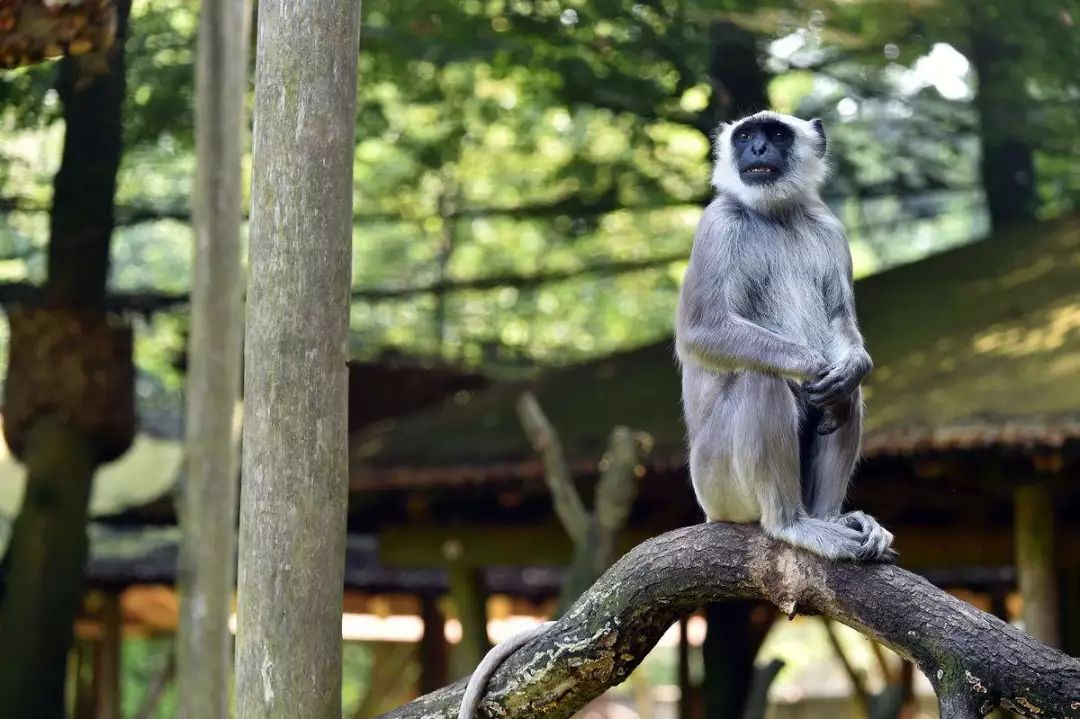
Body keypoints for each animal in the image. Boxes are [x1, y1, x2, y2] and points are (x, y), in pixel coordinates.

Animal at [673, 110, 894, 561]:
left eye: (776, 134)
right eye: (745, 137)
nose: (758, 149)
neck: (776, 215)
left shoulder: (831, 228)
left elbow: (839, 321)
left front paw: (853, 366)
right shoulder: (718, 223)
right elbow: (700, 330)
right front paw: (813, 366)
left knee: (846, 395)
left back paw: (829, 517)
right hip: (716, 485)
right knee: (761, 378)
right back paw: (788, 523)